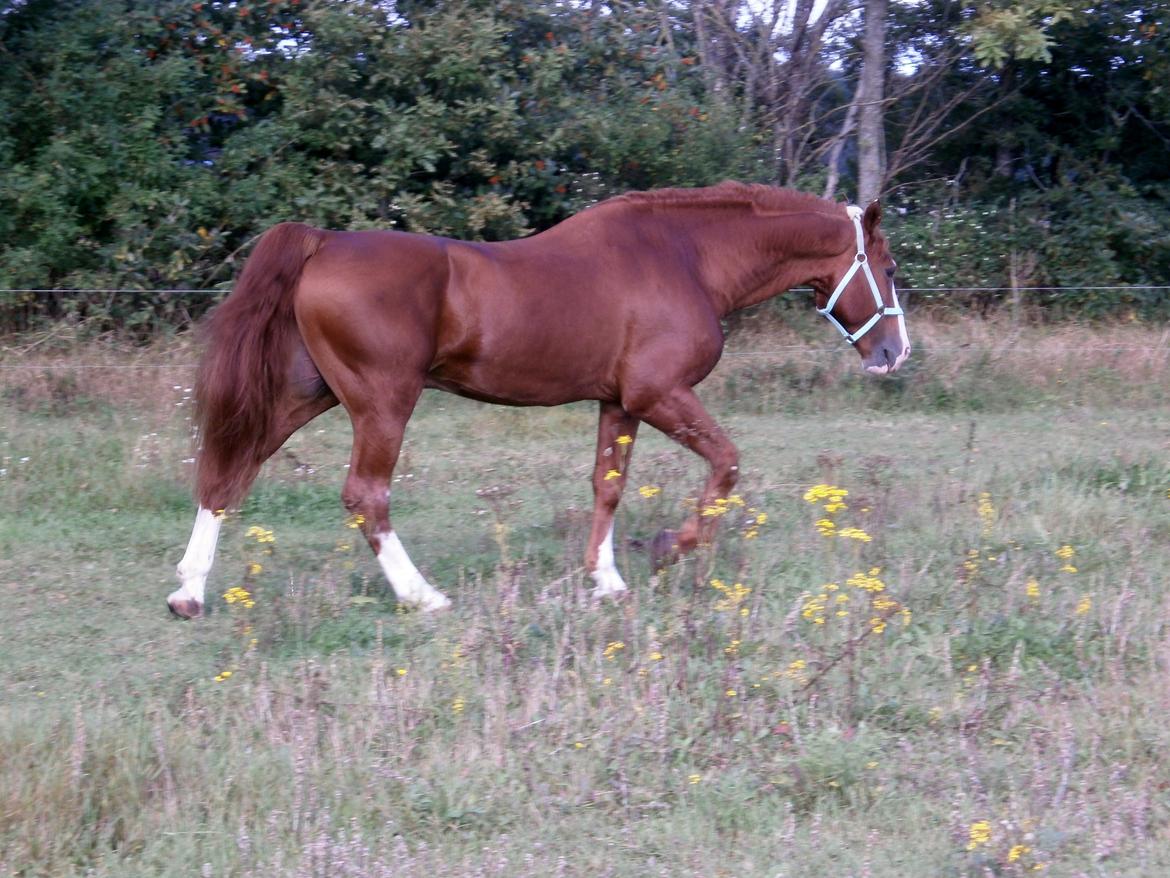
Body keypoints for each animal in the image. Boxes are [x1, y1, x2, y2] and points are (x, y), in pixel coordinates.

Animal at [169, 180, 907, 618]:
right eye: (890, 267)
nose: (894, 353)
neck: (684, 256)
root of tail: (322, 243)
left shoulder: (621, 402)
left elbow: (608, 486)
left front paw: (606, 579)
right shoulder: (661, 393)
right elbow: (726, 463)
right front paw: (669, 547)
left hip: (306, 394)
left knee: (230, 474)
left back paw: (189, 592)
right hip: (382, 403)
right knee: (364, 495)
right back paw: (423, 596)